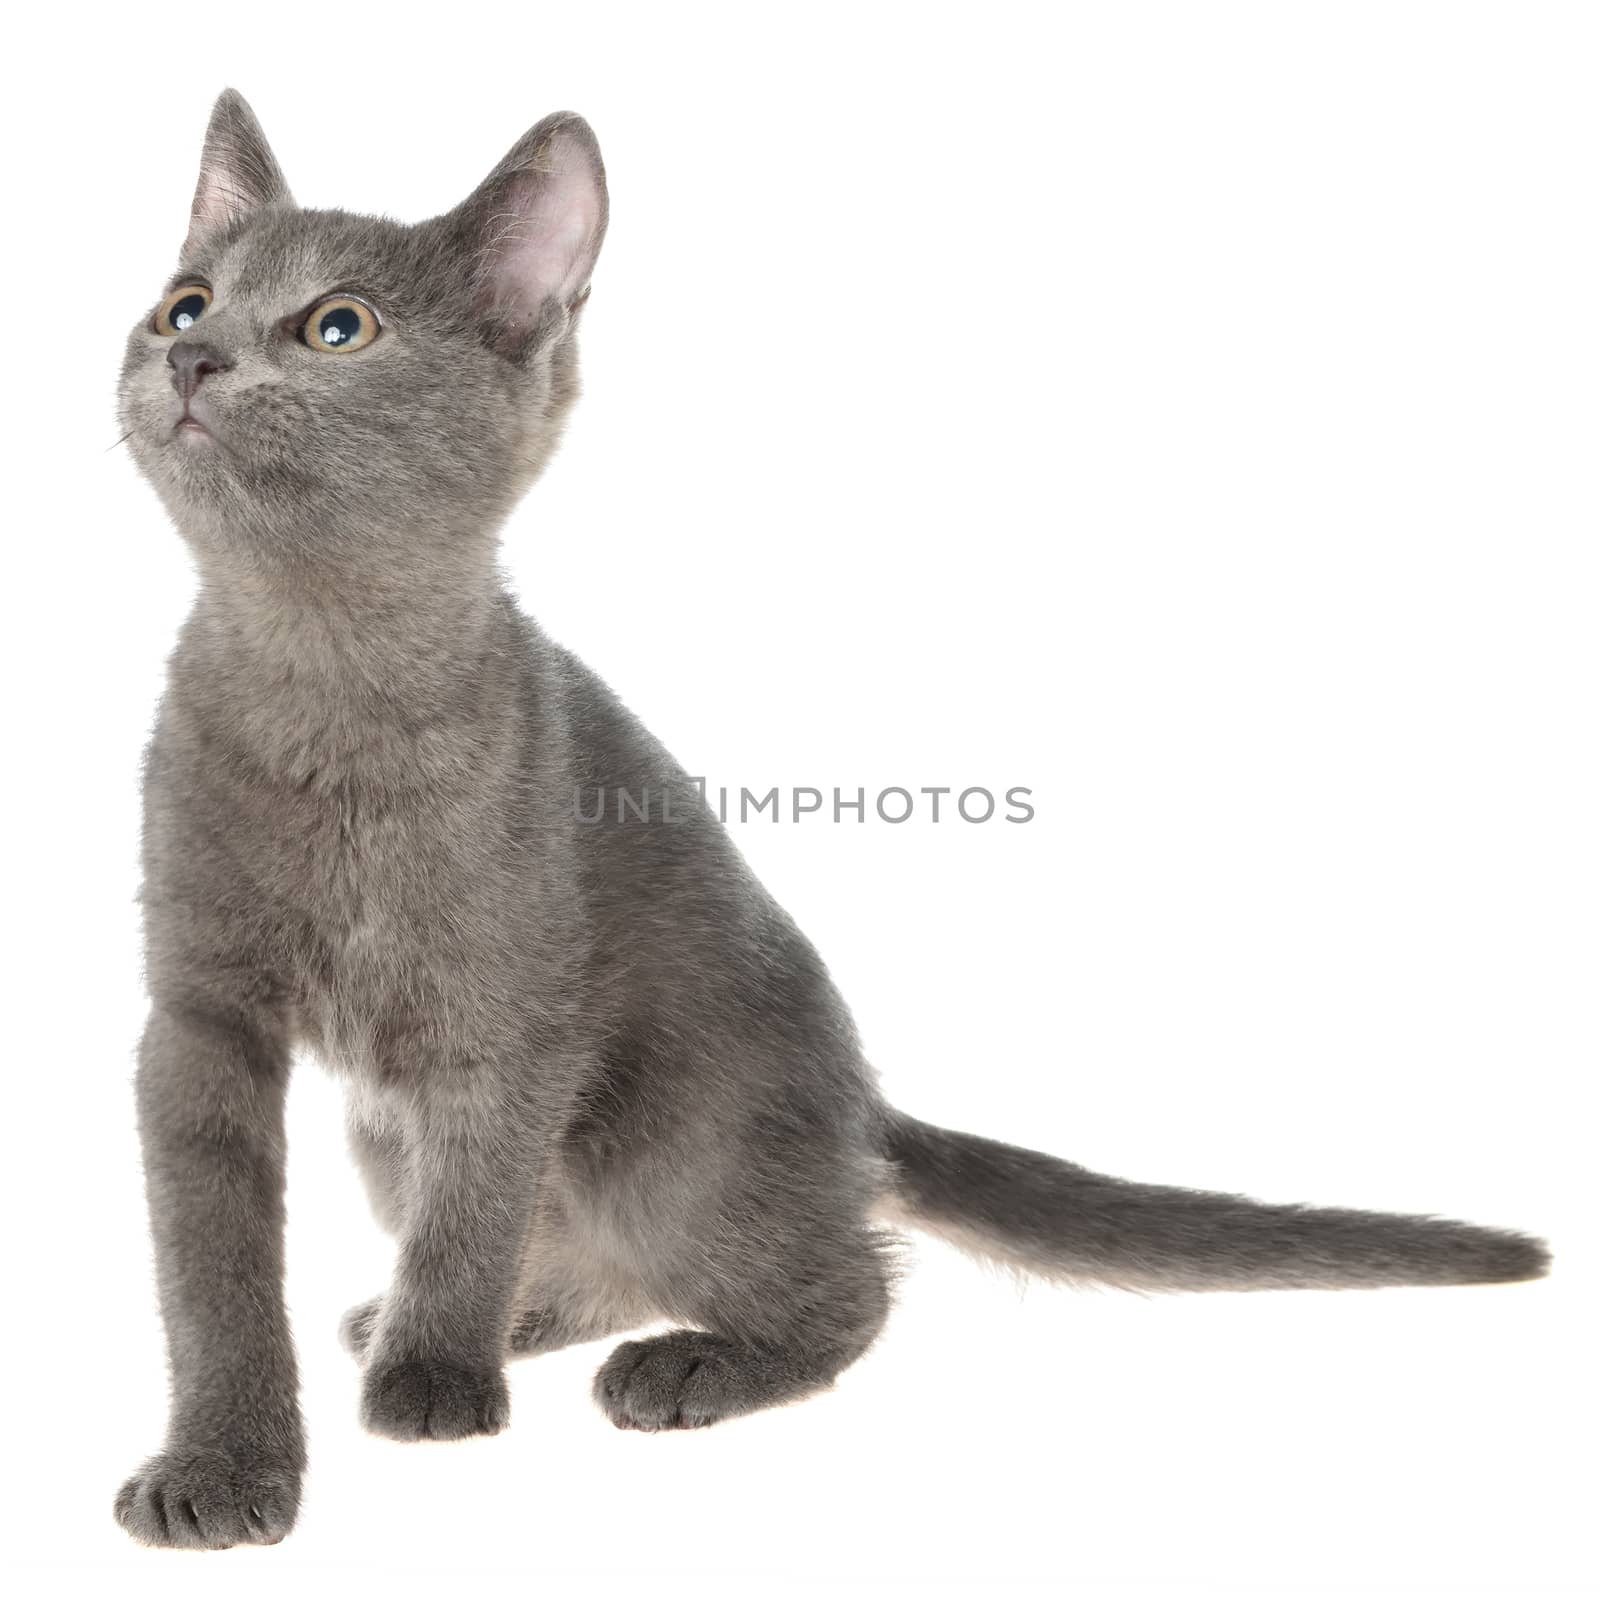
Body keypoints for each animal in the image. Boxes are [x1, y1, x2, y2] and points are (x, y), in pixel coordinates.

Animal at [116, 90, 1548, 1548]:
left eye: (337, 327)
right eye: (184, 303)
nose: (197, 359)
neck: (321, 683)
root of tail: (863, 1112)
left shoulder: (504, 1026)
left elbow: (472, 1217)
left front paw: (434, 1385)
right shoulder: (198, 1022)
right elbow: (212, 1274)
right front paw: (221, 1464)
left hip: (667, 1134)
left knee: (841, 1280)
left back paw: (680, 1362)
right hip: (388, 1129)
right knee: (610, 1257)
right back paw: (508, 1319)